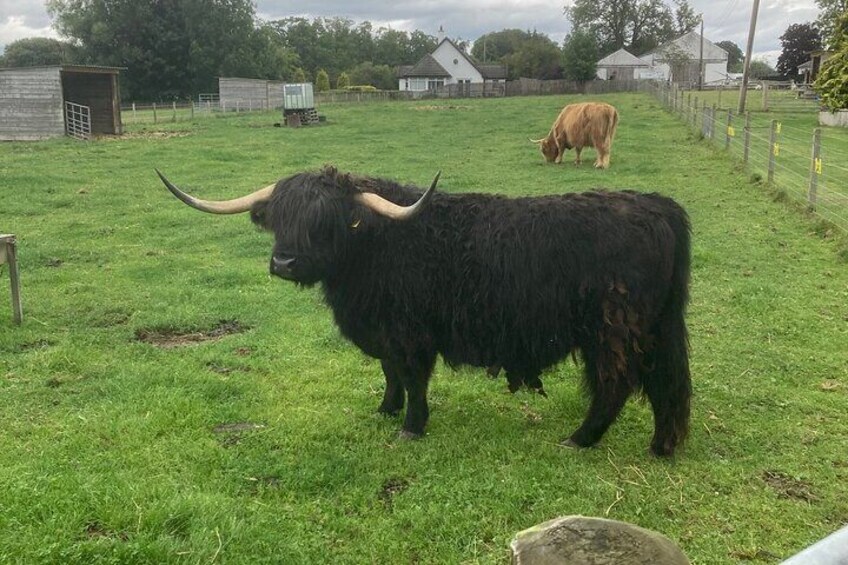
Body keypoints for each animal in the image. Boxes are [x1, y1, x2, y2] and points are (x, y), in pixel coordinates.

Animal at [157, 166, 688, 454]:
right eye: (279, 219)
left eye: (324, 222)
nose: (284, 262)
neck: (376, 245)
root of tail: (657, 205)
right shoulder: (386, 333)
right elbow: (390, 373)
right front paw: (385, 410)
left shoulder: (410, 332)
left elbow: (412, 377)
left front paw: (411, 427)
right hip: (656, 326)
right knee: (666, 383)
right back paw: (662, 445)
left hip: (612, 330)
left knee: (616, 383)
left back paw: (580, 438)